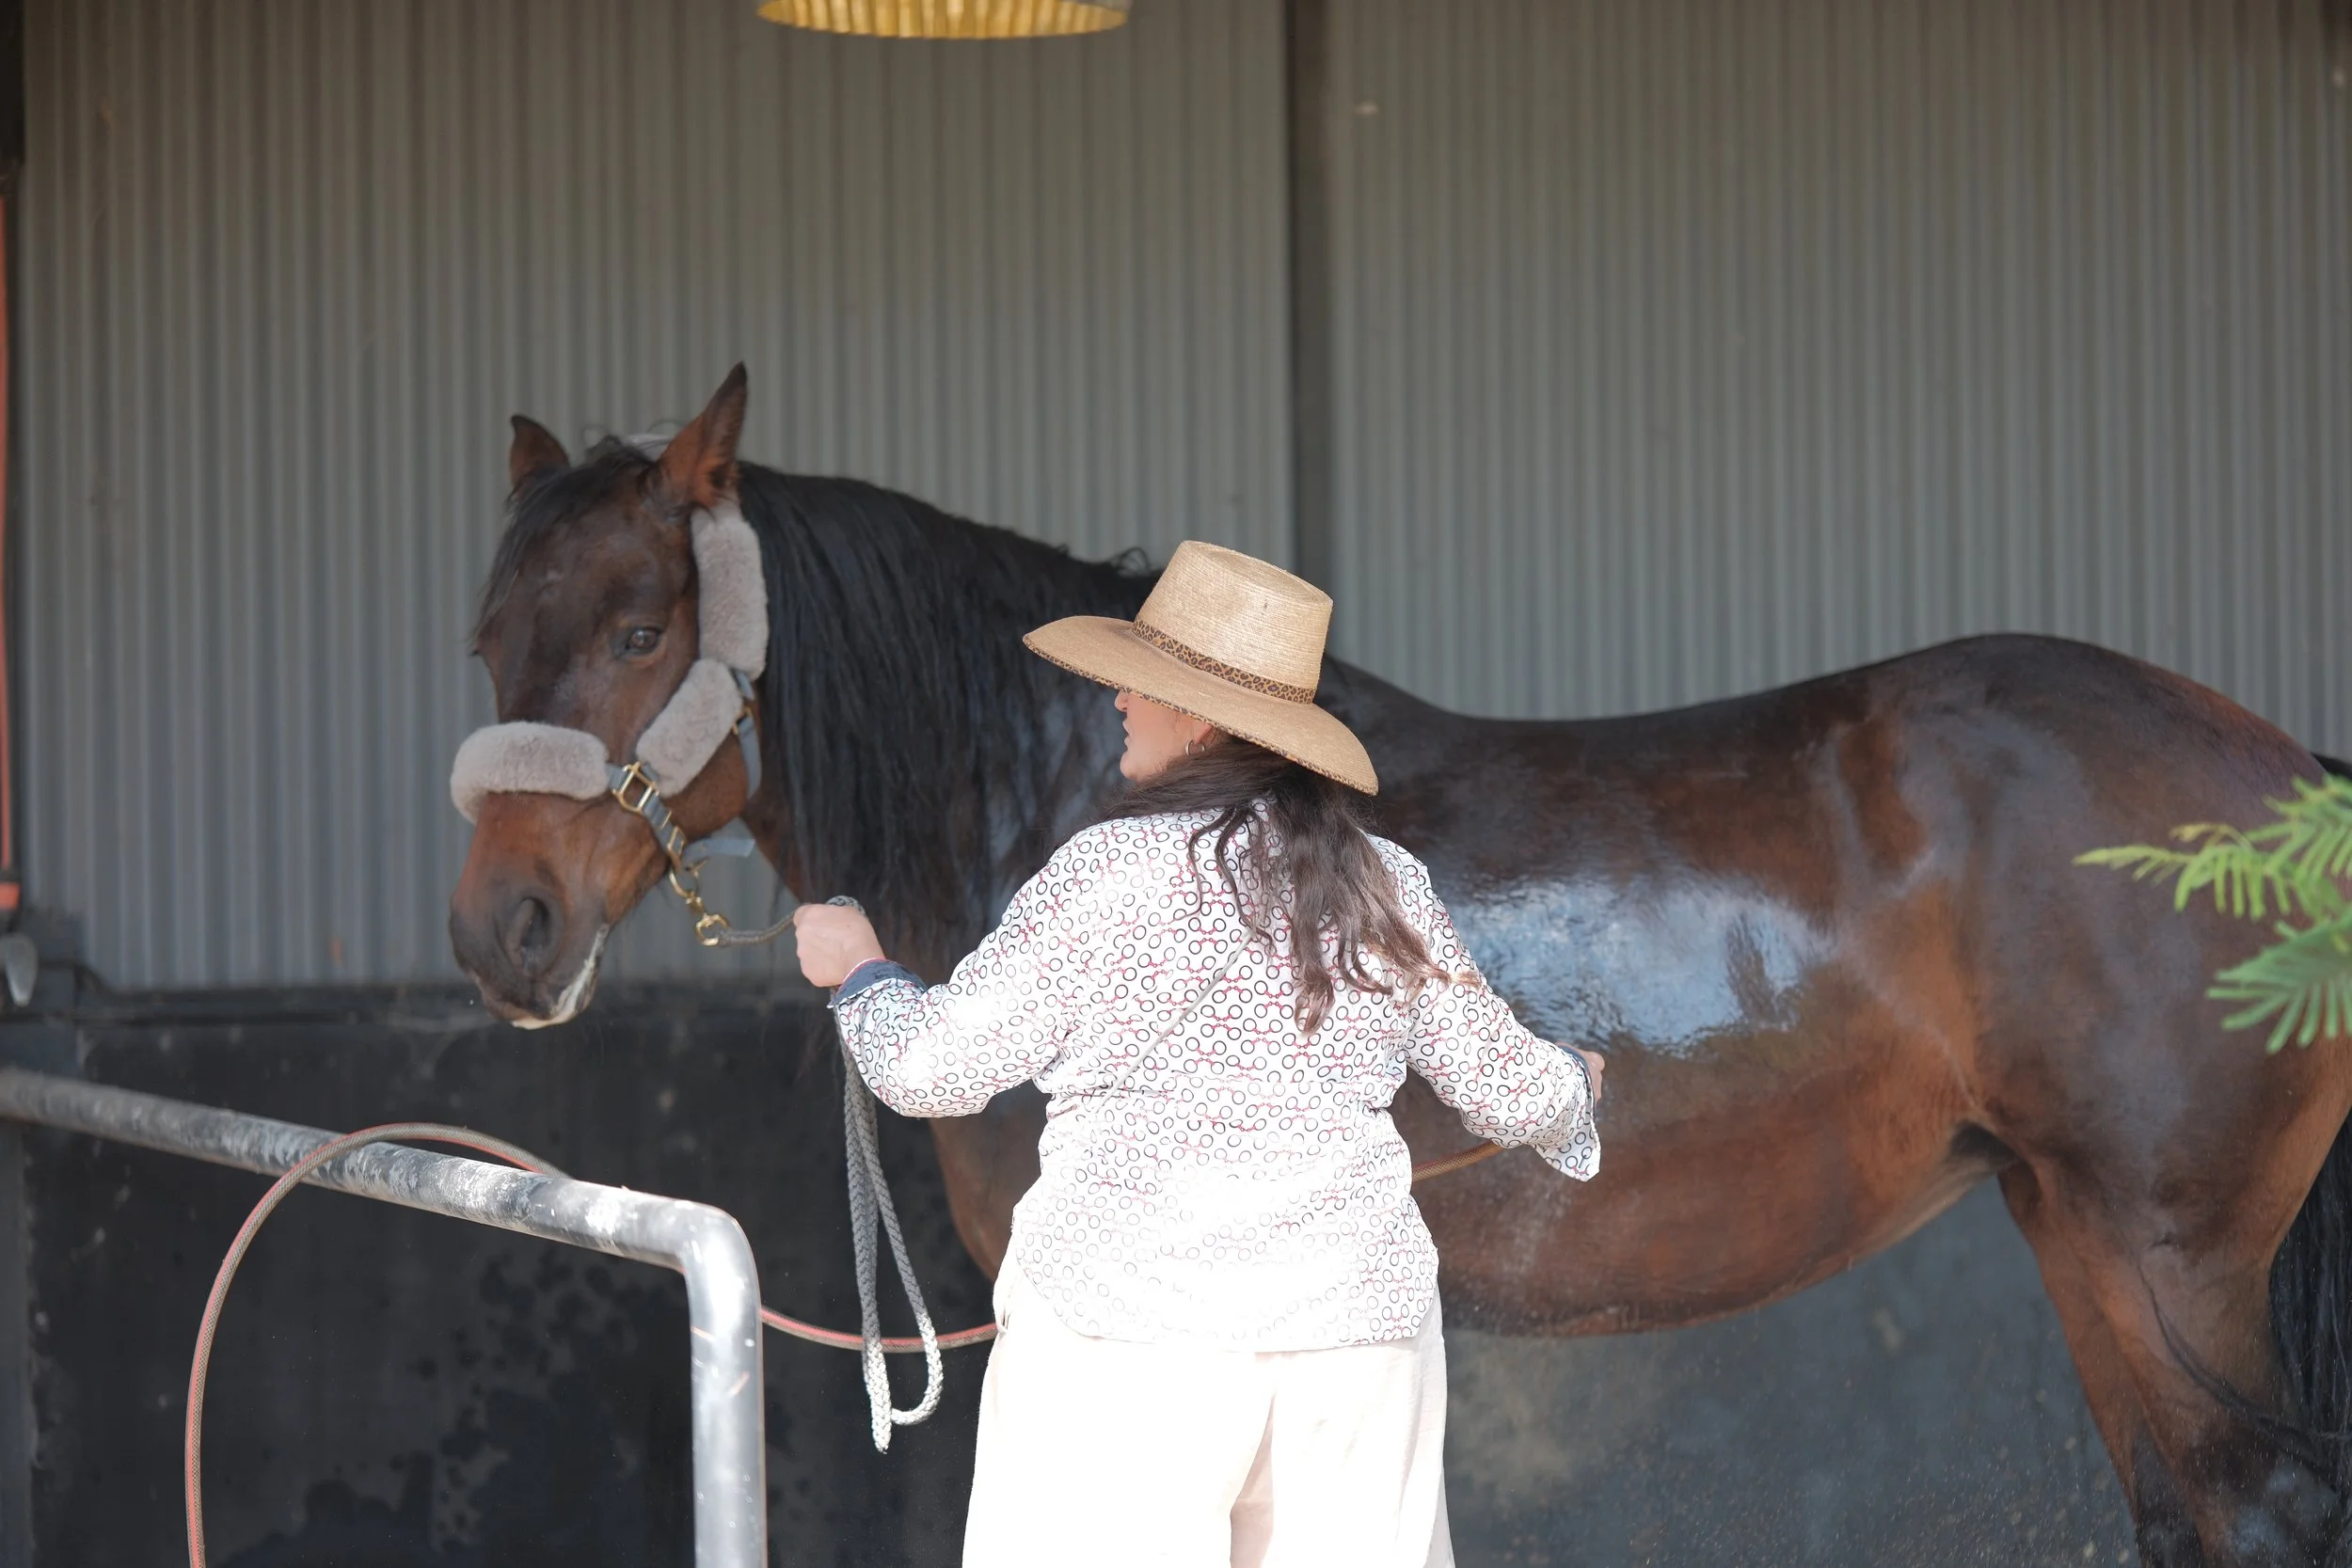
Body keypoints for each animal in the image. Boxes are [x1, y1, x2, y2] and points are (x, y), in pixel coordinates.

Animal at [450, 368, 2352, 1567]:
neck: (1087, 785)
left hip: (2161, 1256)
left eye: (641, 628)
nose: (498, 934)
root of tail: (2283, 781)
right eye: (485, 636)